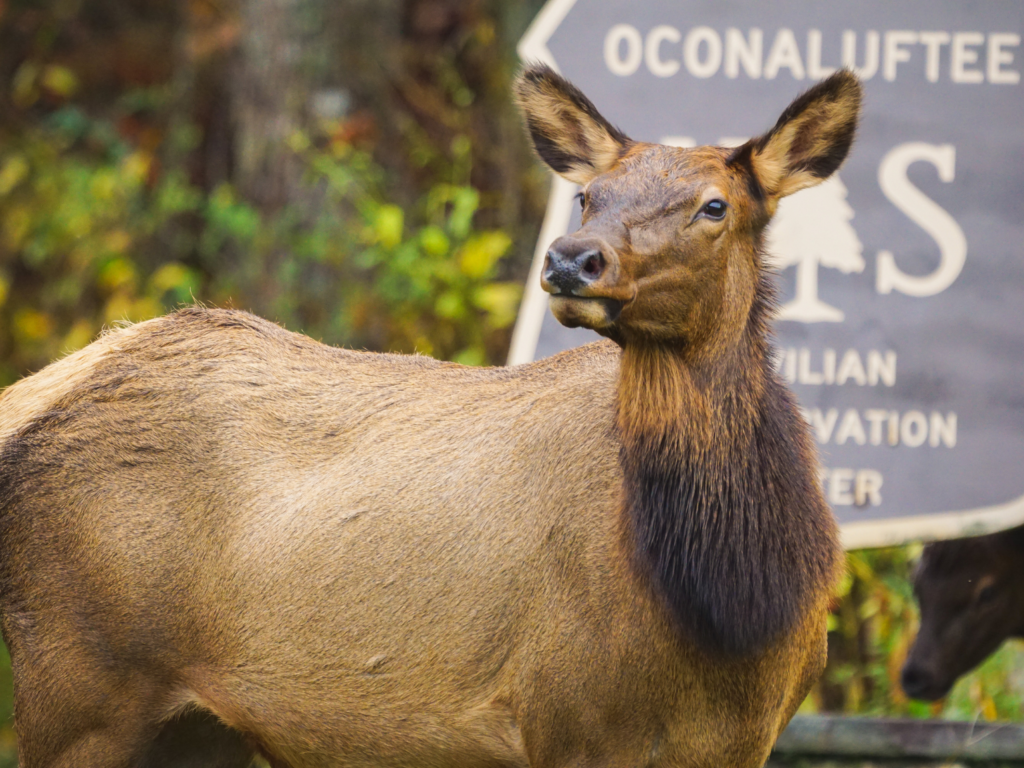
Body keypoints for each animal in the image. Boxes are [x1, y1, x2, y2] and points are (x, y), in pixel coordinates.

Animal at [0, 67, 860, 768]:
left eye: (716, 205)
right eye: (589, 194)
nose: (571, 259)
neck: (736, 612)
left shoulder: (750, 737)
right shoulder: (568, 720)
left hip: (196, 726)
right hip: (78, 684)